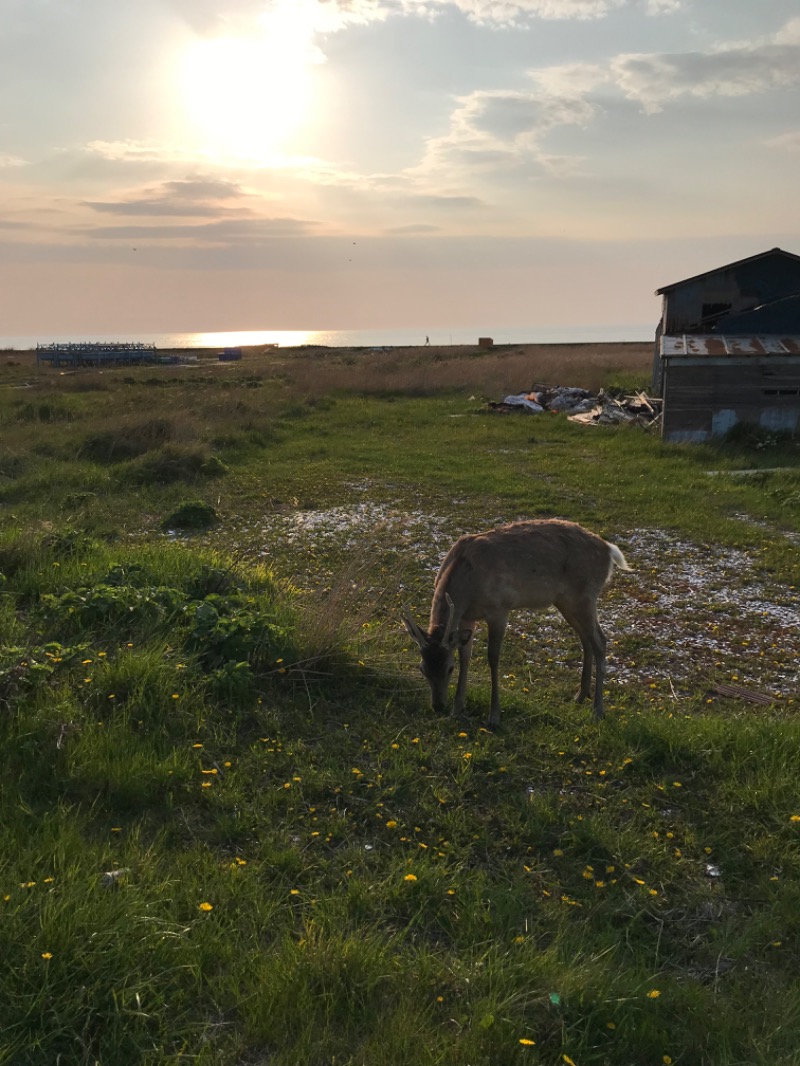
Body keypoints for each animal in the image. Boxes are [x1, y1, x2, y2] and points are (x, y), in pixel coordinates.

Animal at [403, 520, 631, 729]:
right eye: (422, 668)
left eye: (449, 668)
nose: (438, 706)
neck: (466, 588)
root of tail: (609, 550)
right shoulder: (467, 617)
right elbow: (465, 655)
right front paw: (457, 709)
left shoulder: (499, 609)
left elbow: (493, 657)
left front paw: (494, 715)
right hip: (567, 601)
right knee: (586, 640)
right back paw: (580, 696)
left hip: (585, 595)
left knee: (600, 641)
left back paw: (598, 710)